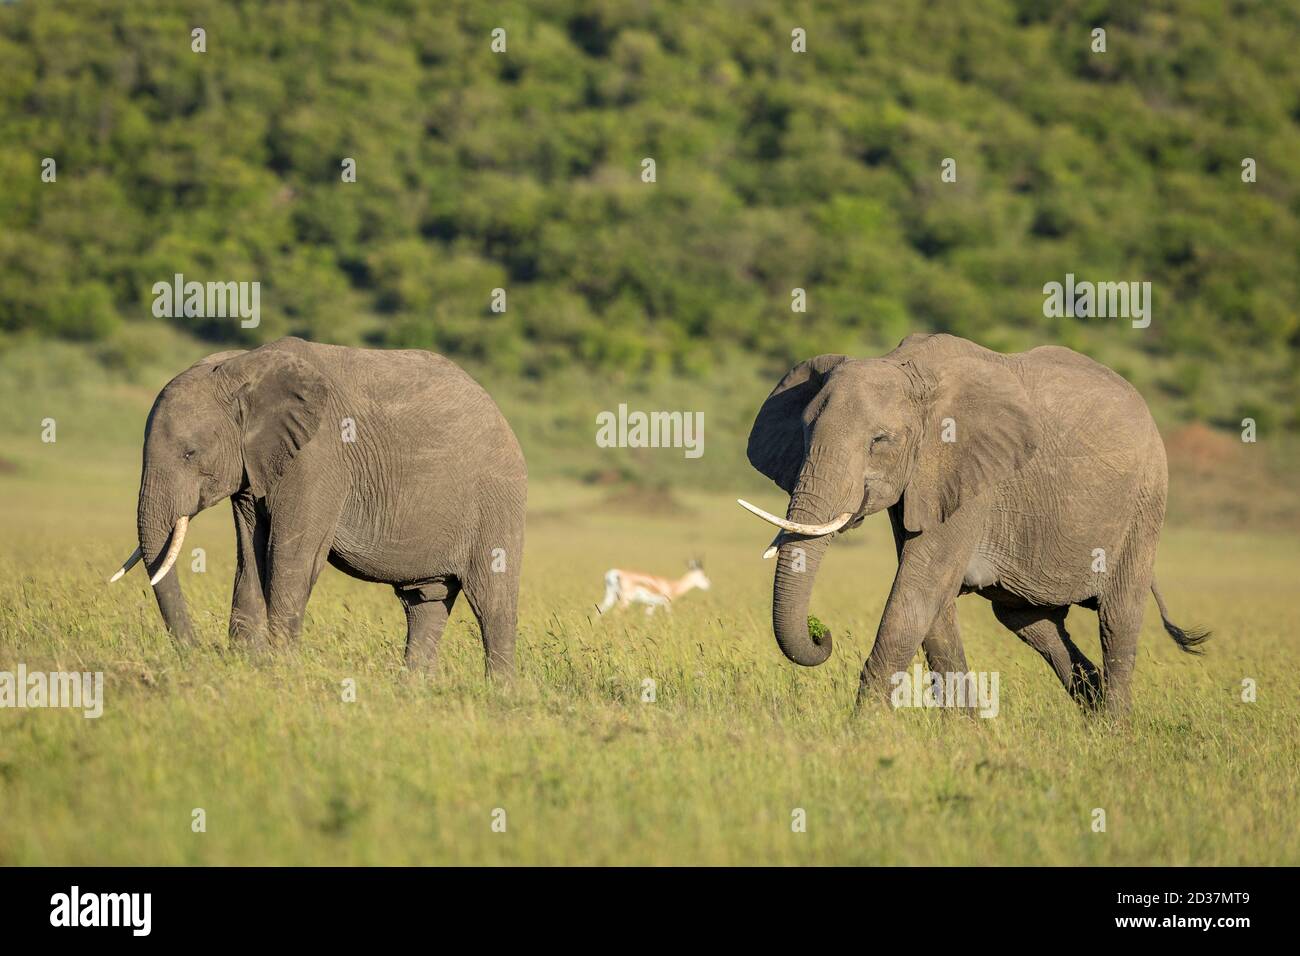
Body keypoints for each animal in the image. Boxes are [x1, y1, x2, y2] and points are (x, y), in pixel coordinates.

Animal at [106, 335, 522, 681]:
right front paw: (248, 662)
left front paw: (279, 667)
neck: (242, 368)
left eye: (190, 453)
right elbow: (251, 556)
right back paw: (415, 688)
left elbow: (293, 557)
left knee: (492, 602)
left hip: (497, 500)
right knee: (424, 601)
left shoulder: (320, 458)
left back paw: (499, 693)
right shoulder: (253, 467)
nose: (194, 650)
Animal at [743, 332, 1206, 712]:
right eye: (805, 435)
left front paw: (863, 733)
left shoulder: (967, 472)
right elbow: (933, 606)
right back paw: (1091, 711)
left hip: (1145, 503)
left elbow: (919, 589)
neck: (907, 369)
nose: (822, 635)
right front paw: (964, 734)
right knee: (1033, 624)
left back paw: (1114, 731)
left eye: (879, 441)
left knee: (1118, 619)